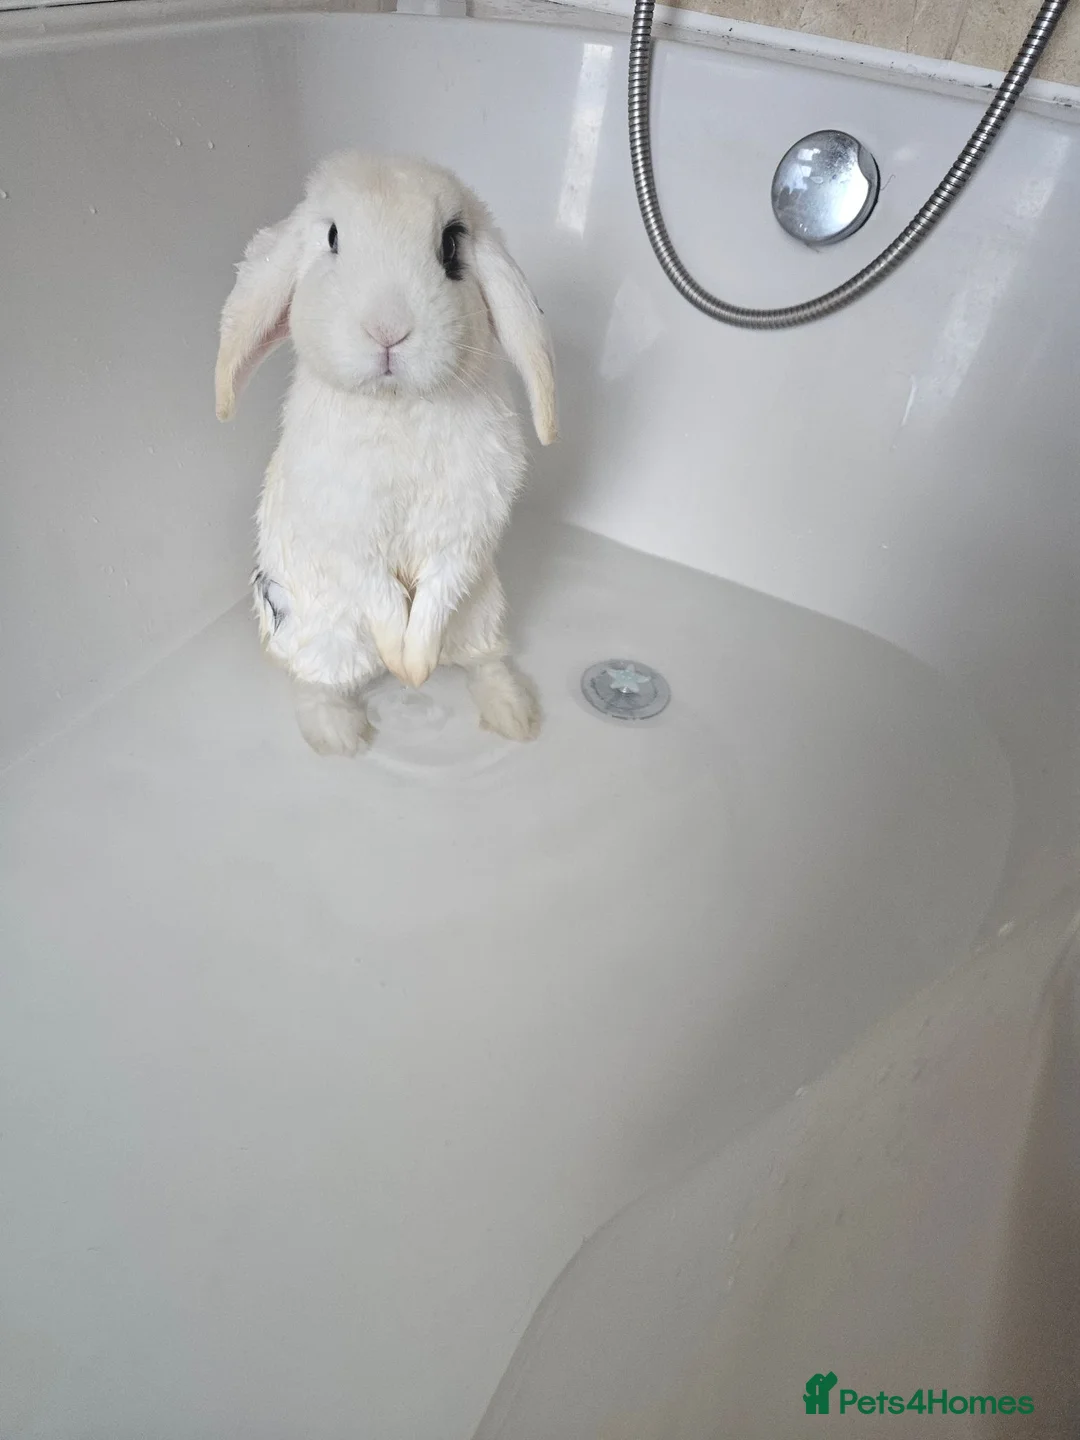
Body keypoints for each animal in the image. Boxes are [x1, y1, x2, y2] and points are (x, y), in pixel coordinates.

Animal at [215, 151, 557, 756]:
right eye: (332, 237)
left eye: (451, 245)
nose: (388, 330)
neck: (397, 406)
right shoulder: (348, 533)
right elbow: (379, 590)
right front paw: (403, 664)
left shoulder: (465, 530)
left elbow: (437, 591)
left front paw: (415, 667)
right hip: (321, 635)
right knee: (316, 684)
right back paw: (342, 737)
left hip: (483, 612)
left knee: (484, 661)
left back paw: (514, 714)